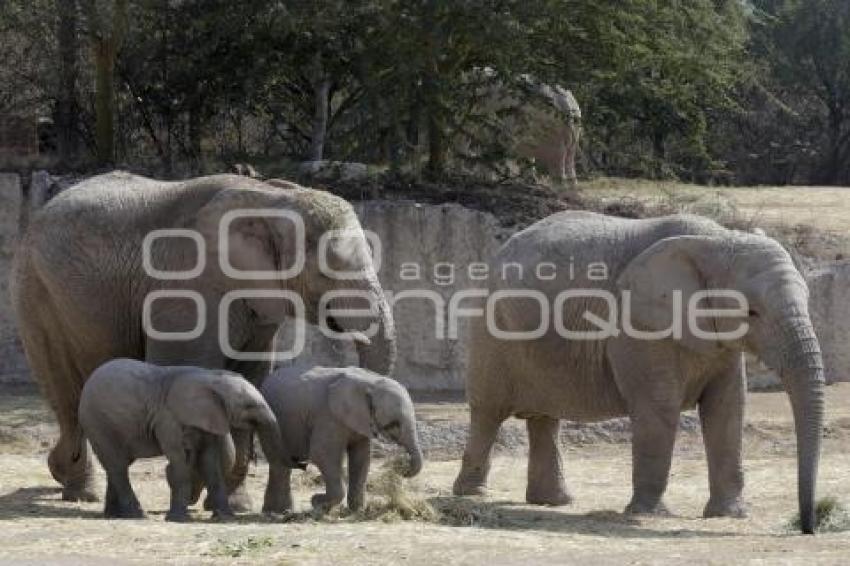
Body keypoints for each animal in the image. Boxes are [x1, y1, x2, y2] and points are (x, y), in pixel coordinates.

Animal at [80, 362, 284, 520]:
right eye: (249, 406)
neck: (211, 378)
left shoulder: (208, 416)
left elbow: (210, 463)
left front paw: (225, 517)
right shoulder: (167, 418)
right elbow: (178, 460)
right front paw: (177, 519)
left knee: (117, 465)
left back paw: (114, 515)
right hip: (98, 423)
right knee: (117, 466)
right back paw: (137, 515)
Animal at [256, 366, 420, 516]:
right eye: (394, 424)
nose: (402, 469)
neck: (371, 381)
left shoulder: (359, 420)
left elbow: (362, 458)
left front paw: (358, 511)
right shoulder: (328, 416)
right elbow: (322, 454)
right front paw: (317, 503)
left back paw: (279, 511)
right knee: (279, 464)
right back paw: (278, 512)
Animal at [454, 211, 824, 536]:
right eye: (752, 312)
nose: (807, 527)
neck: (716, 239)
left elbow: (727, 409)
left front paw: (729, 514)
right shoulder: (636, 324)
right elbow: (659, 408)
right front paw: (650, 514)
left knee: (544, 418)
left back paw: (554, 502)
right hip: (493, 329)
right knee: (489, 412)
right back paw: (472, 494)